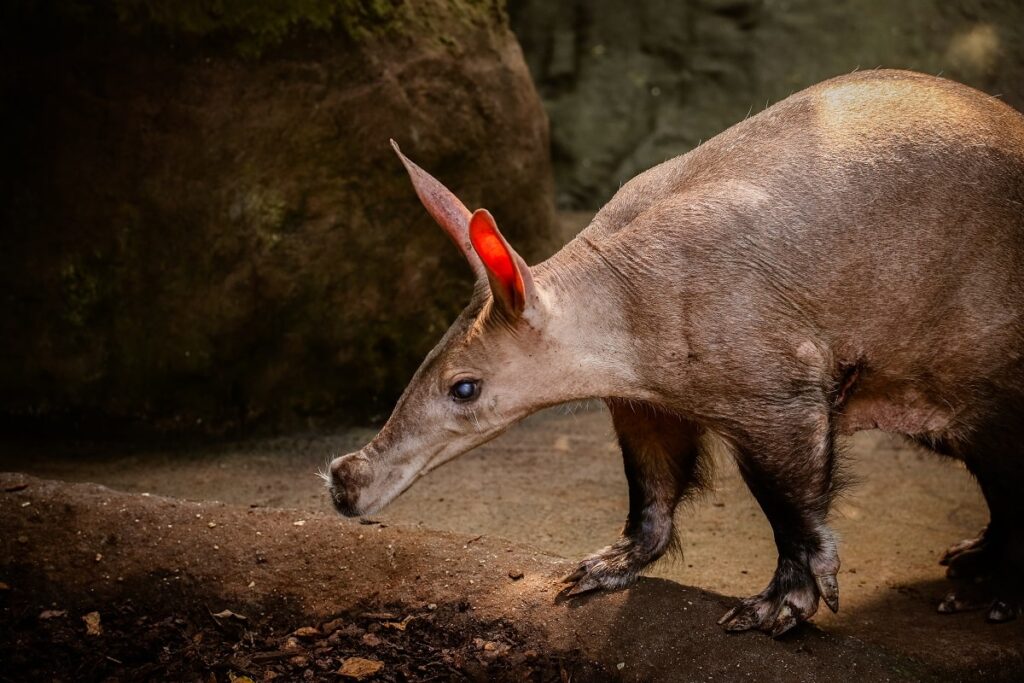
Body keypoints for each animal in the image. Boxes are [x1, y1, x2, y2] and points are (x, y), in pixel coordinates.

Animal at [328, 69, 1024, 635]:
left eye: (465, 388)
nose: (342, 483)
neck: (619, 306)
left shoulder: (775, 387)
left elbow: (790, 501)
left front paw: (778, 608)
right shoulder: (644, 401)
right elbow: (651, 484)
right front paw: (597, 568)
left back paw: (993, 597)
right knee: (999, 479)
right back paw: (974, 559)